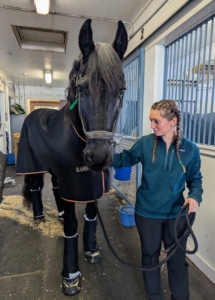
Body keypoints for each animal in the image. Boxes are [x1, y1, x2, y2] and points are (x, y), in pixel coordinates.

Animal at [16, 19, 127, 296]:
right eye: (82, 88)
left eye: (121, 89)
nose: (97, 157)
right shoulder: (73, 181)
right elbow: (72, 227)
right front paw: (71, 277)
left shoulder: (90, 184)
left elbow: (90, 216)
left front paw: (92, 250)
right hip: (34, 167)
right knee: (36, 188)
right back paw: (39, 217)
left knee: (55, 188)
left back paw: (57, 213)